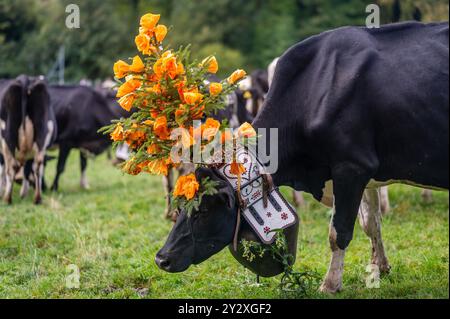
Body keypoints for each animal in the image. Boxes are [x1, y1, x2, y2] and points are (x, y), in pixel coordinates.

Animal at [0, 76, 56, 204]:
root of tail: (24, 79)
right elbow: (27, 170)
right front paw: (23, 193)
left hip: (7, 139)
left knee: (12, 166)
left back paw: (7, 199)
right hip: (41, 138)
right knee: (37, 165)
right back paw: (37, 198)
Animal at [156, 21, 450, 294]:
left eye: (204, 210)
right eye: (181, 207)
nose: (162, 259)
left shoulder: (351, 168)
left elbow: (339, 232)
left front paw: (330, 284)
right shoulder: (367, 174)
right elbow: (371, 224)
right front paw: (380, 267)